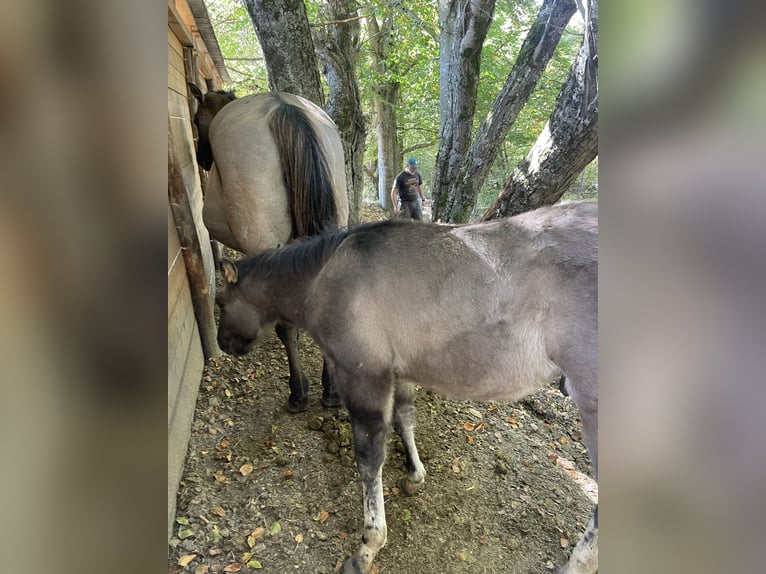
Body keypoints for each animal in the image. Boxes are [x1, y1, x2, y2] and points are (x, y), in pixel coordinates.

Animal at [188, 84, 349, 412]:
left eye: (197, 120)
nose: (202, 159)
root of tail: (281, 107)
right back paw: (331, 390)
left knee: (285, 328)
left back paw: (298, 392)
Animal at [213, 201, 598, 574]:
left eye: (219, 303)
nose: (223, 343)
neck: (325, 274)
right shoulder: (398, 373)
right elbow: (405, 419)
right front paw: (414, 476)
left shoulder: (363, 379)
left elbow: (369, 460)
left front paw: (368, 548)